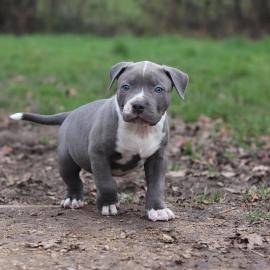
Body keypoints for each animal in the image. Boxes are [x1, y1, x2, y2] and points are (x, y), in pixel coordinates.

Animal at [10, 61, 188, 221]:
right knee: (73, 179)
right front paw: (108, 205)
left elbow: (156, 185)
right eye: (125, 87)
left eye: (158, 89)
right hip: (66, 159)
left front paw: (158, 210)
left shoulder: (158, 158)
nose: (138, 105)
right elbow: (106, 183)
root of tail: (70, 113)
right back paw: (73, 199)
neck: (139, 130)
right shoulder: (98, 155)